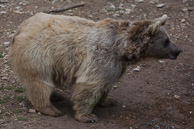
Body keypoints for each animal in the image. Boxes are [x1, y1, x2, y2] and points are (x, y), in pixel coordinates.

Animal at [8, 13, 182, 123]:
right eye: (166, 40)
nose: (178, 50)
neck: (123, 49)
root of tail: (20, 28)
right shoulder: (102, 58)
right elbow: (91, 84)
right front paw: (88, 116)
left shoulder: (115, 65)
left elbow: (106, 85)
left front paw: (107, 101)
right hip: (39, 56)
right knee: (40, 83)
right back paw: (51, 109)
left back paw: (56, 96)